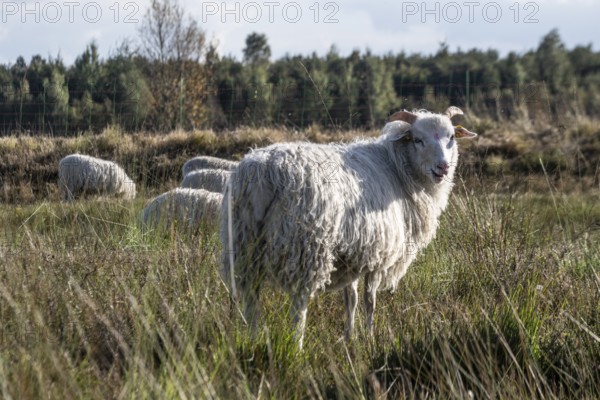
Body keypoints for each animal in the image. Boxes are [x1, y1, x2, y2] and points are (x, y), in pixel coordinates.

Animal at [220, 105, 478, 346]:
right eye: (417, 139)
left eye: (451, 138)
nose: (443, 167)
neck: (396, 168)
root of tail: (263, 175)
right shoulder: (378, 255)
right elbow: (369, 300)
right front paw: (370, 337)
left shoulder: (355, 254)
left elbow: (350, 299)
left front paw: (349, 337)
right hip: (303, 248)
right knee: (298, 306)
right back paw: (297, 345)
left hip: (244, 247)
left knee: (251, 301)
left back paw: (253, 339)